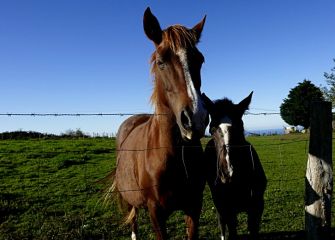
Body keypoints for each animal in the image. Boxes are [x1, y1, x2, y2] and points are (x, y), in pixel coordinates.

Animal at [110, 7, 210, 240]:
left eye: (200, 60)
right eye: (161, 61)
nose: (195, 118)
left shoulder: (194, 205)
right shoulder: (156, 212)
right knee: (133, 218)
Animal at [202, 92, 268, 240]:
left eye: (240, 126)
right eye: (211, 129)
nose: (229, 174)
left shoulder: (257, 206)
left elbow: (253, 229)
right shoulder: (227, 209)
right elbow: (231, 230)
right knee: (222, 223)